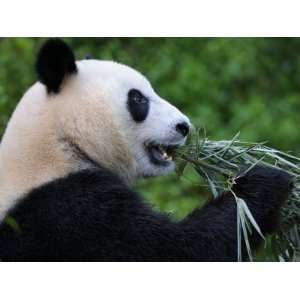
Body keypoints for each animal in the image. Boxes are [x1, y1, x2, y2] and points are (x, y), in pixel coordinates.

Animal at [0, 38, 292, 262]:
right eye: (138, 99)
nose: (184, 126)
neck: (59, 143)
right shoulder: (69, 211)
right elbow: (176, 250)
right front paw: (265, 179)